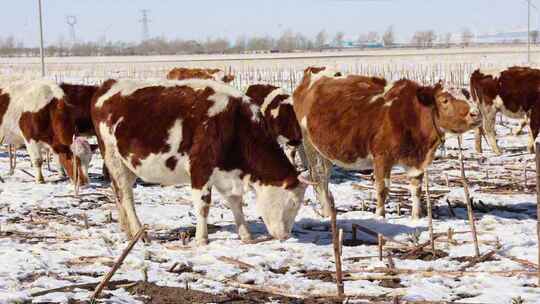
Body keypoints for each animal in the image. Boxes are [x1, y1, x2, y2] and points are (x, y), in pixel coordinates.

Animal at [91, 78, 310, 245]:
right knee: (126, 195)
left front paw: (246, 235)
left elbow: (236, 203)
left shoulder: (228, 174)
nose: (285, 235)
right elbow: (203, 205)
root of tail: (108, 86)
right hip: (113, 158)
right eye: (293, 203)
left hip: (125, 164)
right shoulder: (200, 169)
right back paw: (140, 233)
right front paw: (202, 239)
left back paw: (127, 230)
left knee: (118, 193)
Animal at [296, 66, 480, 218]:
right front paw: (380, 216)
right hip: (310, 146)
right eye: (444, 100)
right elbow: (382, 189)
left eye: (467, 95)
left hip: (324, 151)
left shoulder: (416, 163)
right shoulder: (381, 157)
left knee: (324, 178)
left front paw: (416, 217)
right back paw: (328, 213)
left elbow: (416, 190)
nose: (476, 113)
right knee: (319, 177)